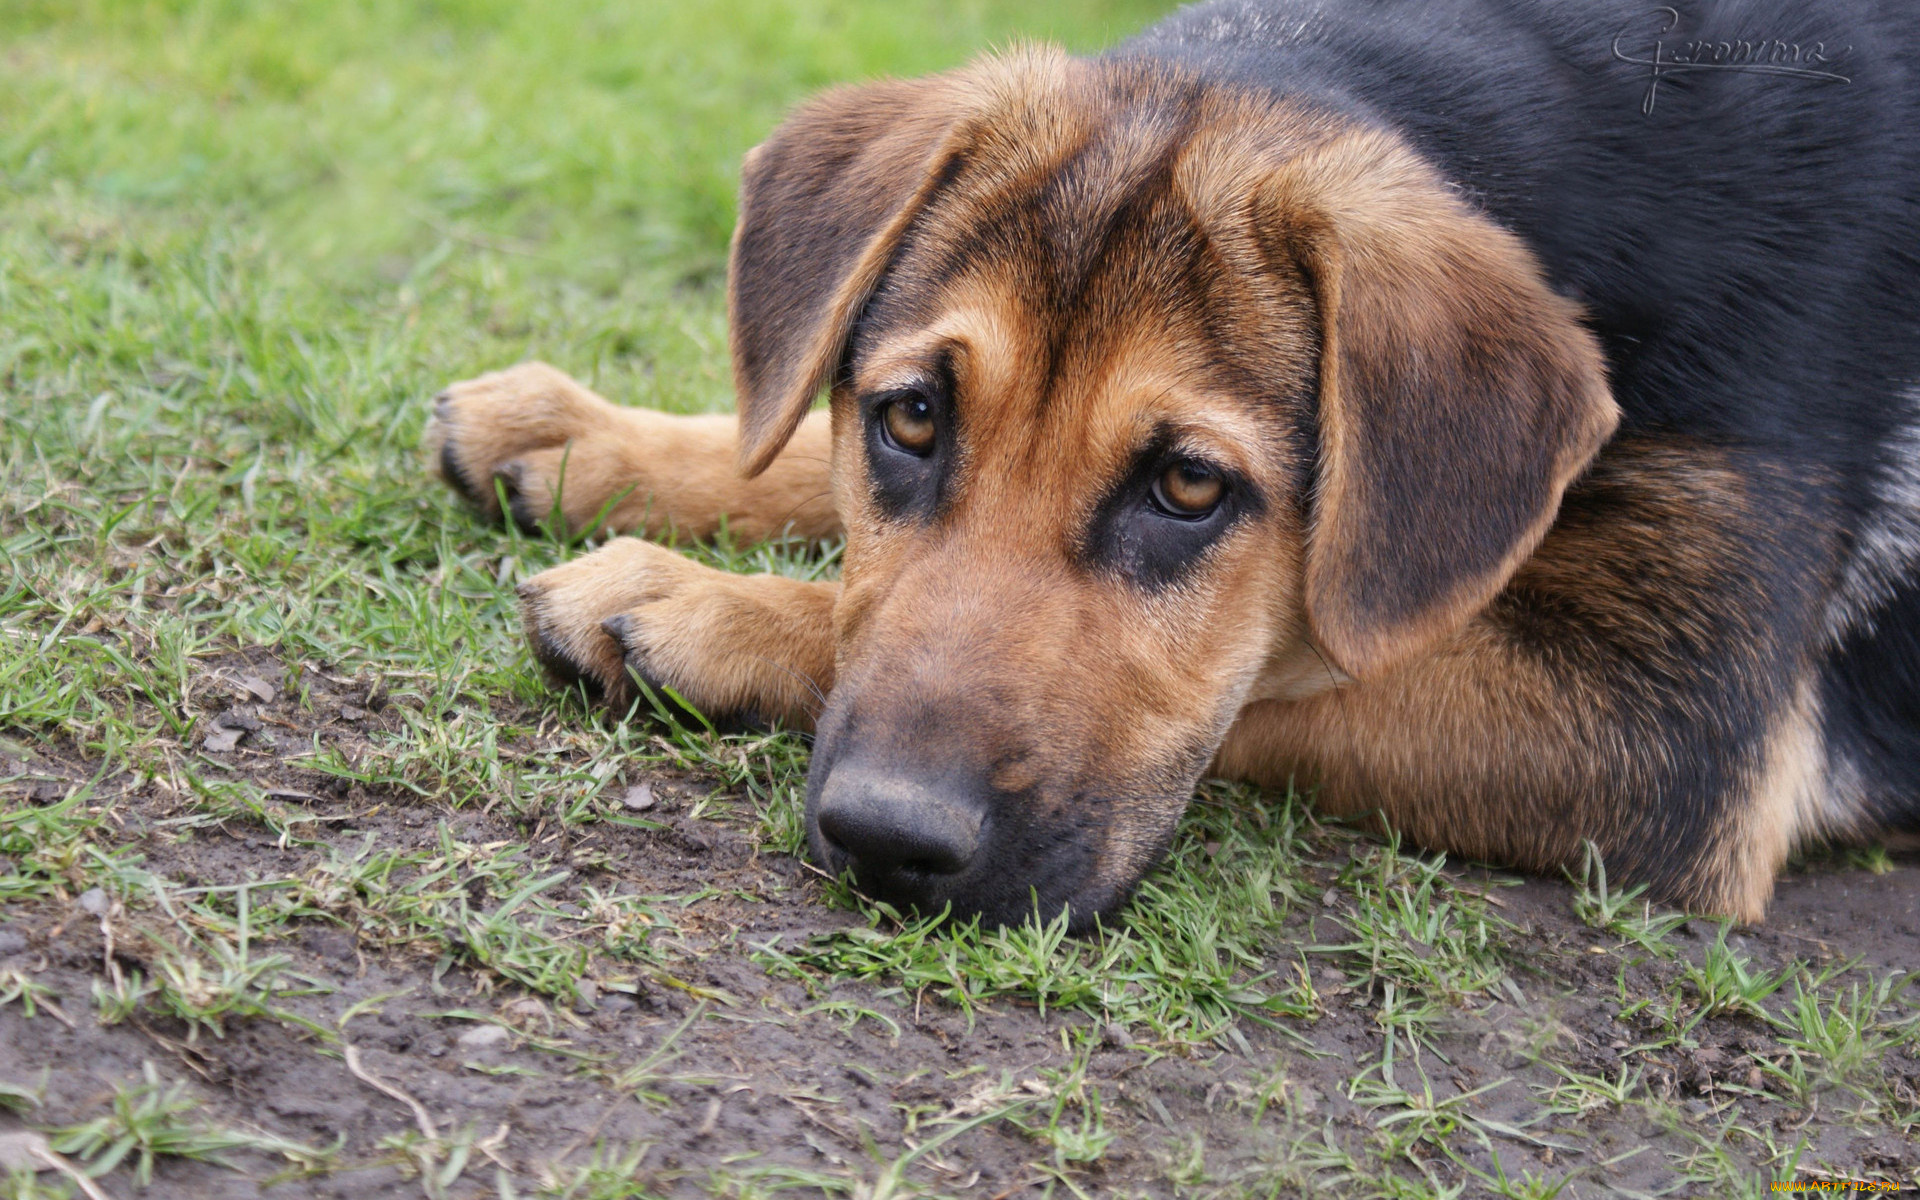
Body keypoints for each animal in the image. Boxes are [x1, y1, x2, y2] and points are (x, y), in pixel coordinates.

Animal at [428, 0, 1920, 925]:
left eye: (1190, 489)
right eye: (910, 418)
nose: (889, 843)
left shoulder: (1678, 727)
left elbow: (1296, 665)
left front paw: (701, 604)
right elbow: (798, 455)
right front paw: (591, 433)